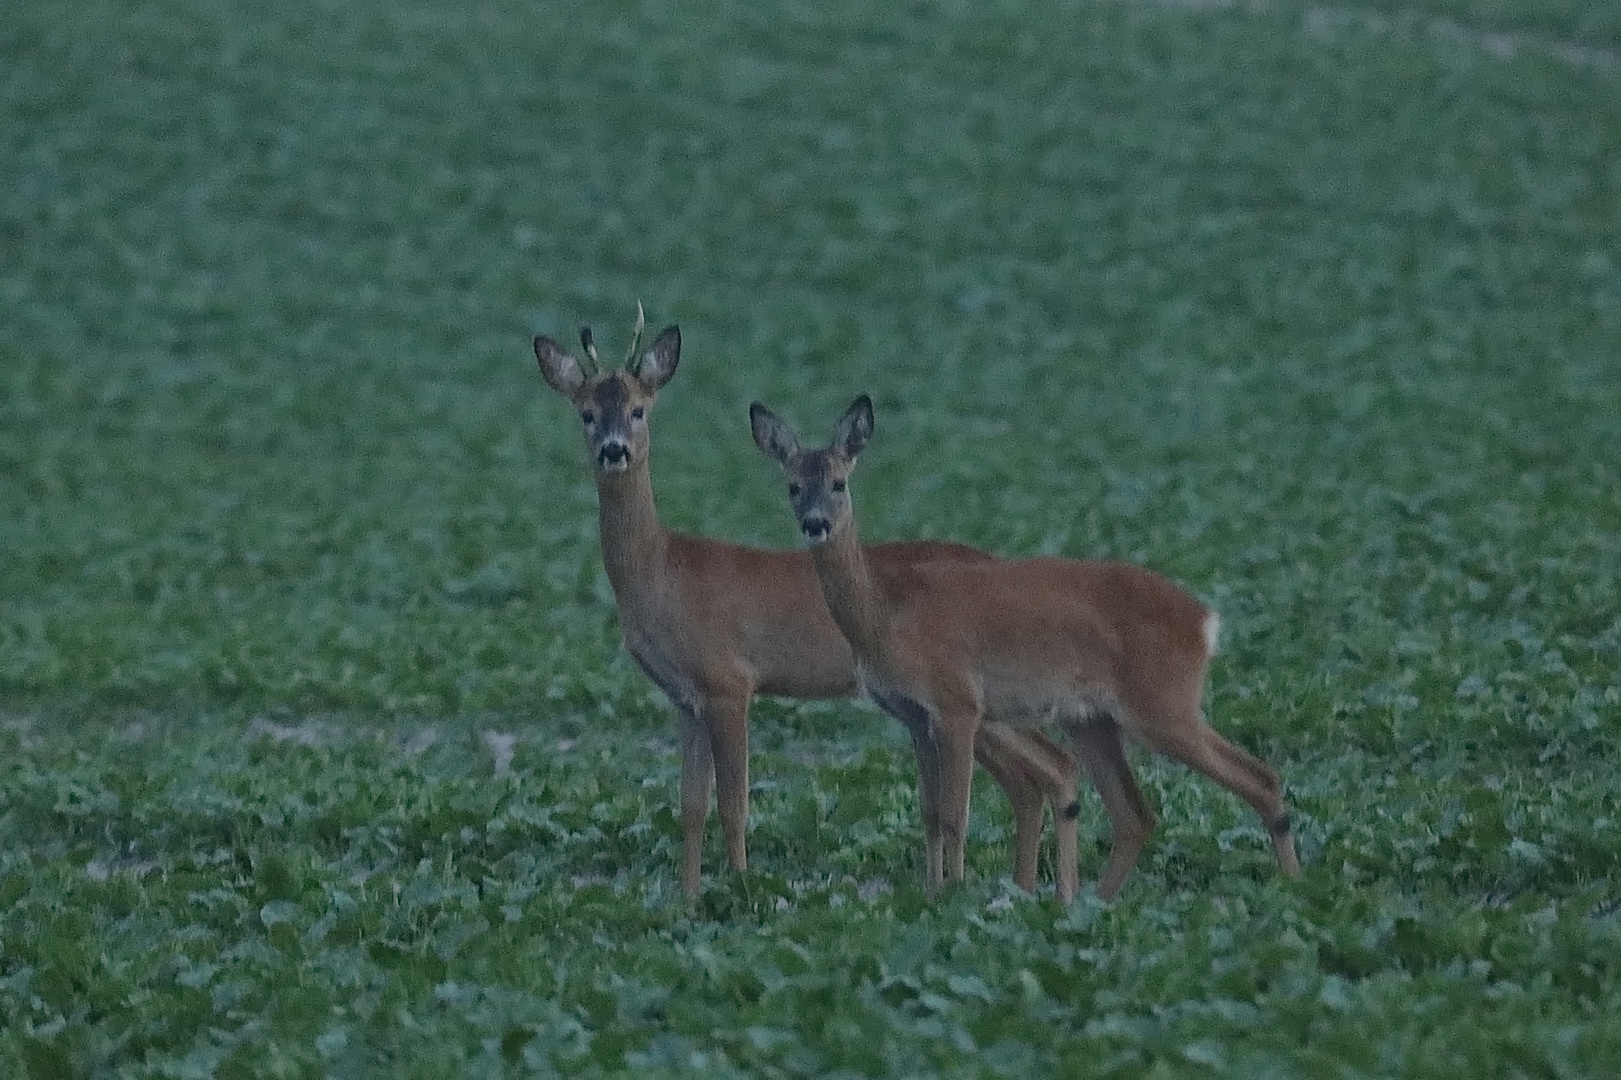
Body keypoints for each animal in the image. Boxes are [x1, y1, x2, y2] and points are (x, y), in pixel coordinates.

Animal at [531, 312, 1082, 901]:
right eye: (586, 413)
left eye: (638, 409)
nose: (614, 449)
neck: (663, 572)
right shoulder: (685, 699)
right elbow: (690, 807)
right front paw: (687, 901)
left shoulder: (728, 682)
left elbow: (733, 804)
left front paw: (741, 889)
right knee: (1031, 781)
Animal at [748, 390, 1303, 895]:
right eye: (792, 486)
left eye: (839, 482)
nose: (815, 523)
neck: (888, 618)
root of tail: (1205, 619)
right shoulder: (914, 715)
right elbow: (928, 814)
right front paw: (931, 896)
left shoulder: (957, 703)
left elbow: (954, 814)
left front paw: (954, 897)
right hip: (1093, 720)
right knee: (1136, 814)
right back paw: (1088, 905)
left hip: (1164, 706)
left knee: (1260, 778)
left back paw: (1293, 887)